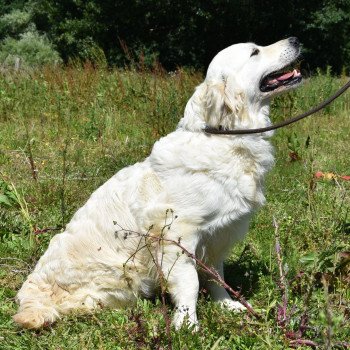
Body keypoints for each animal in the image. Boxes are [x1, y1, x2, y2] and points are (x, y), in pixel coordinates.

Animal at [13, 37, 302, 330]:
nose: (295, 39)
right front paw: (187, 323)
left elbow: (215, 275)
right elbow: (190, 282)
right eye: (255, 51)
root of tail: (31, 294)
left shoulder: (218, 235)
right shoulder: (176, 233)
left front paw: (225, 304)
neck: (225, 137)